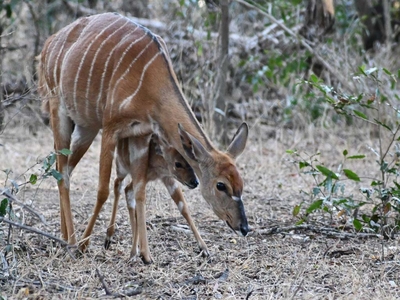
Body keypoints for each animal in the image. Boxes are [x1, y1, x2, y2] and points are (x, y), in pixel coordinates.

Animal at [38, 12, 250, 264]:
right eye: (221, 185)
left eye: (241, 184)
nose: (244, 227)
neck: (152, 82)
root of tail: (49, 43)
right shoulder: (110, 128)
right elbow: (102, 191)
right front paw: (84, 245)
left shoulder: (140, 134)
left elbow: (138, 190)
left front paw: (143, 253)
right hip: (59, 109)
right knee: (63, 174)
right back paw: (71, 242)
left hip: (85, 127)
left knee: (64, 170)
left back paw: (63, 236)